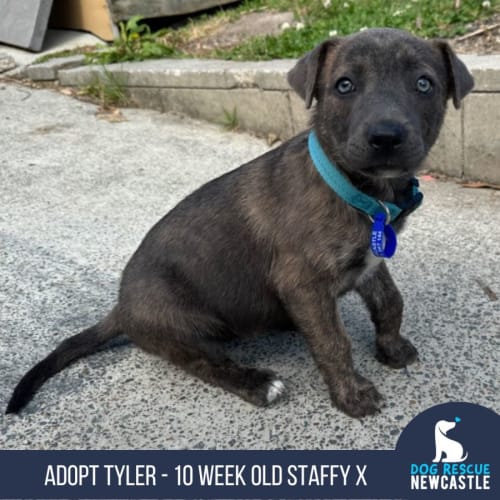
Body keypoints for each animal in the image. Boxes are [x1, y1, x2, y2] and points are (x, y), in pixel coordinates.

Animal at [6, 29, 472, 416]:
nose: (386, 137)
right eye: (344, 85)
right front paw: (352, 395)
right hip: (186, 323)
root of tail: (121, 309)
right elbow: (333, 342)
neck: (359, 191)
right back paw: (257, 384)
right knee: (203, 362)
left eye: (424, 84)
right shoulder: (304, 282)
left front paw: (392, 348)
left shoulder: (369, 264)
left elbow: (390, 302)